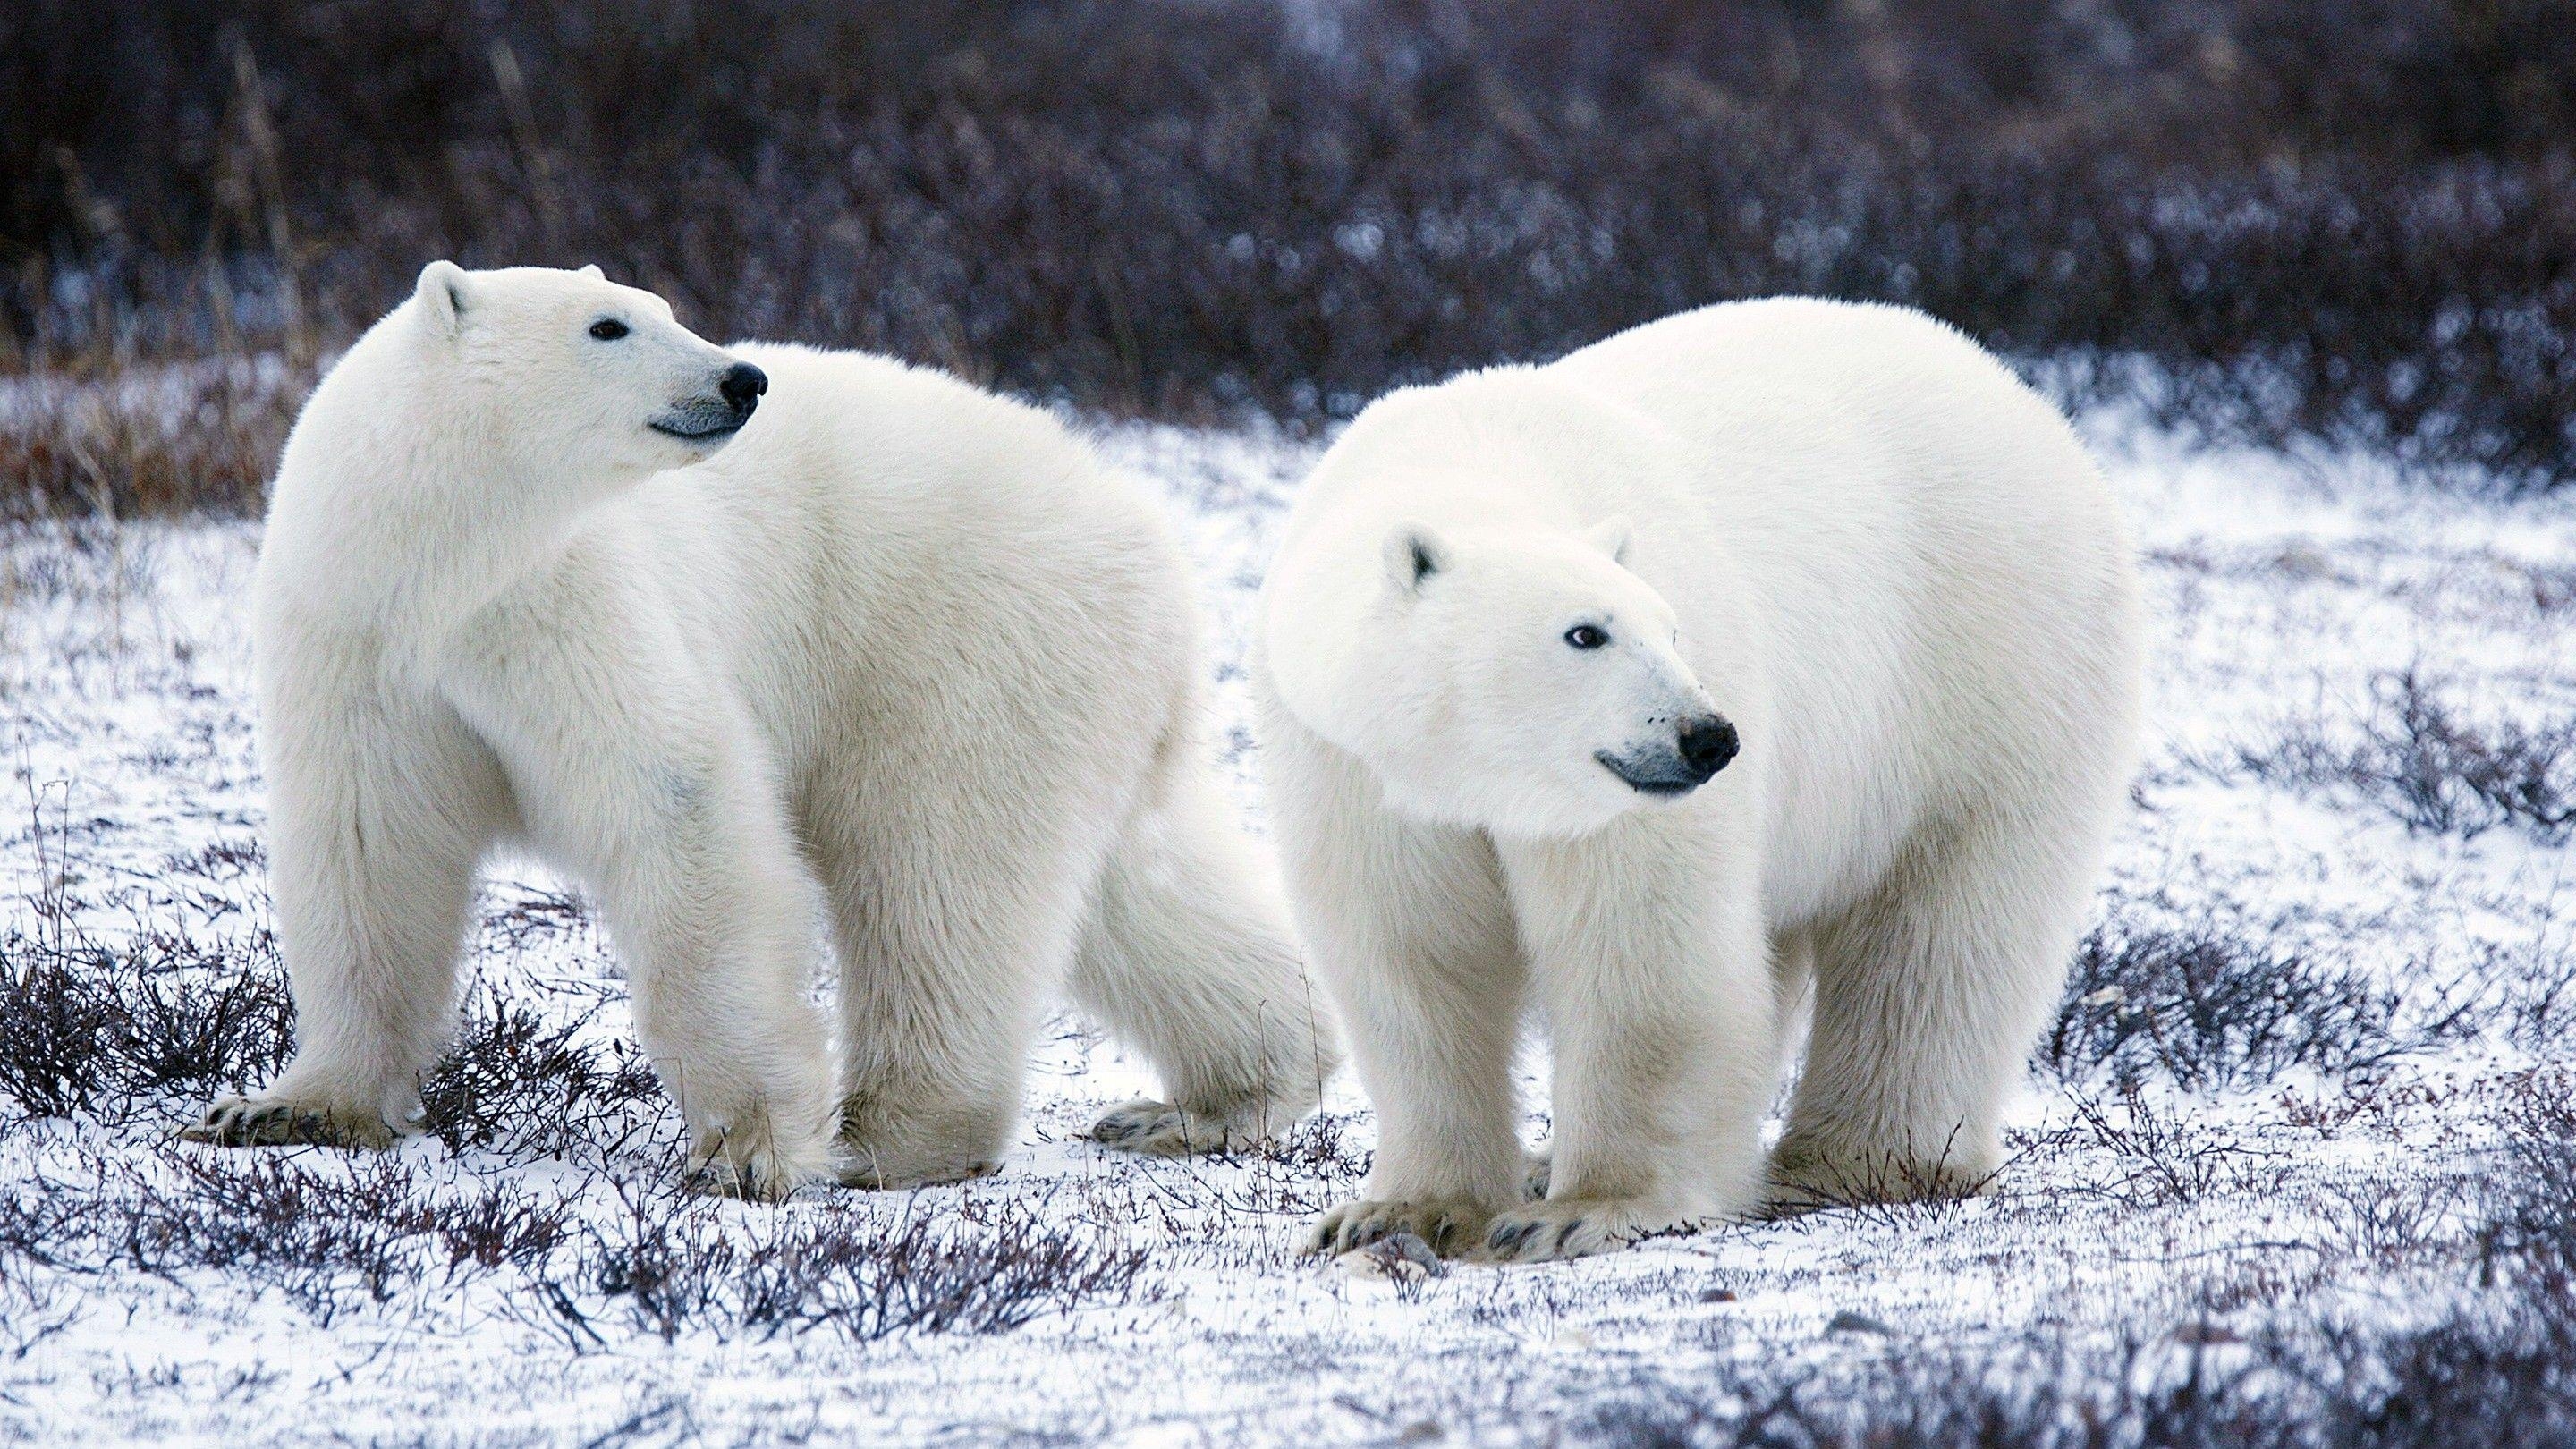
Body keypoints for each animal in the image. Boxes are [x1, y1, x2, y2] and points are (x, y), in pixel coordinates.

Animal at [191, 261, 1339, 1196]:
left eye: (665, 307)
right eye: (609, 324)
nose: (743, 379)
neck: (442, 564)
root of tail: (1152, 539)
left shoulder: (569, 602)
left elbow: (680, 805)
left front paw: (747, 1149)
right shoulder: (359, 638)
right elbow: (367, 850)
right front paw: (285, 1107)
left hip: (963, 642)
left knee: (937, 873)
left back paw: (896, 1136)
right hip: (1078, 687)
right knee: (1132, 885)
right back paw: (1216, 1098)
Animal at [1257, 299, 2143, 1258]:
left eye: (1670, 628)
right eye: (1585, 632)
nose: (1708, 738)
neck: (1474, 460)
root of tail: (2024, 399)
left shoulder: (1620, 802)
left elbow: (1644, 950)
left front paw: (1583, 1210)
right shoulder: (1355, 766)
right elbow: (1411, 958)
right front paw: (1395, 1213)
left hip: (1988, 667)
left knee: (1940, 933)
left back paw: (1854, 1162)